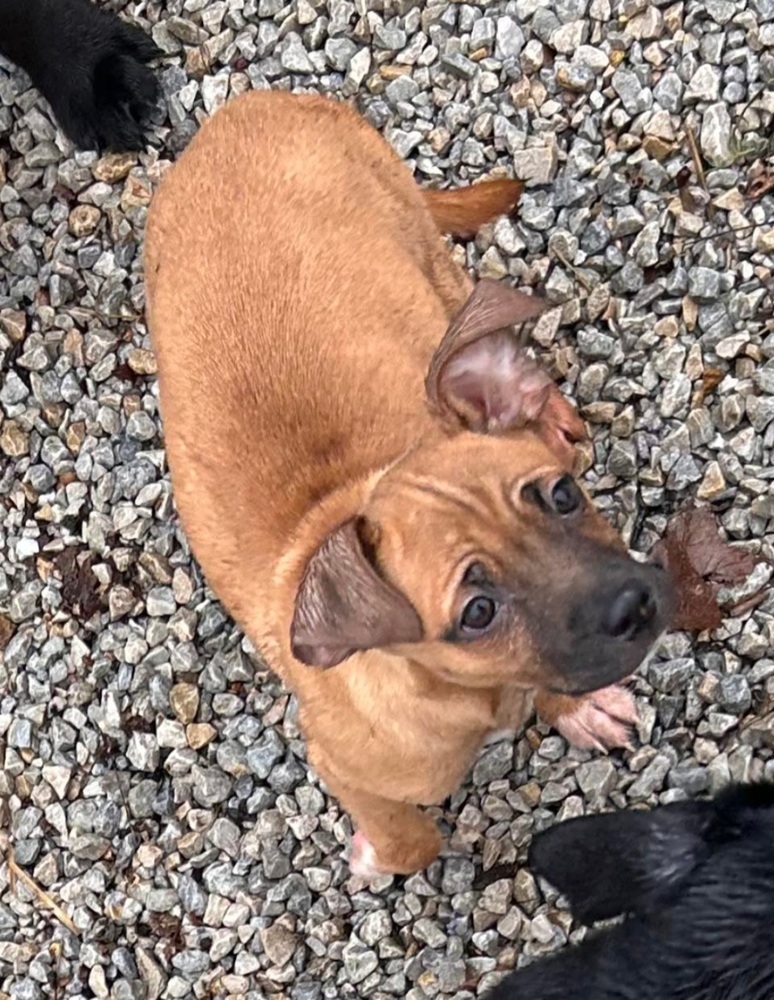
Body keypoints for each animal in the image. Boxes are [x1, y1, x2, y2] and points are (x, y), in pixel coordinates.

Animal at [146, 94, 672, 876]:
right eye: (477, 613)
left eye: (563, 497)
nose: (636, 607)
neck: (475, 694)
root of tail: (249, 105)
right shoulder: (343, 765)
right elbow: (413, 841)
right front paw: (379, 855)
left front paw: (575, 706)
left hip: (430, 260)